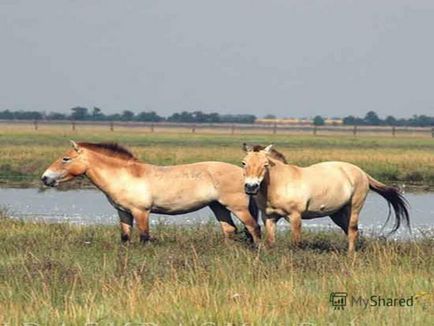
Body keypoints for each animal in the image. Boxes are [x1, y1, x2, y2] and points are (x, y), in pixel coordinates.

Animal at [40, 141, 260, 243]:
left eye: (65, 159)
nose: (45, 178)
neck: (125, 176)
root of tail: (247, 177)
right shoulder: (123, 213)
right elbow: (125, 237)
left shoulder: (141, 212)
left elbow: (144, 237)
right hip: (218, 207)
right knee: (229, 231)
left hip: (238, 208)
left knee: (253, 228)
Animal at [242, 144, 408, 253]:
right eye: (243, 163)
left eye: (265, 164)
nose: (251, 187)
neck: (280, 183)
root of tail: (361, 172)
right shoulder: (269, 217)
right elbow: (270, 242)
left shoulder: (295, 216)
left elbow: (295, 242)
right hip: (338, 214)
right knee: (351, 232)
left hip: (354, 209)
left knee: (353, 231)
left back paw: (350, 256)